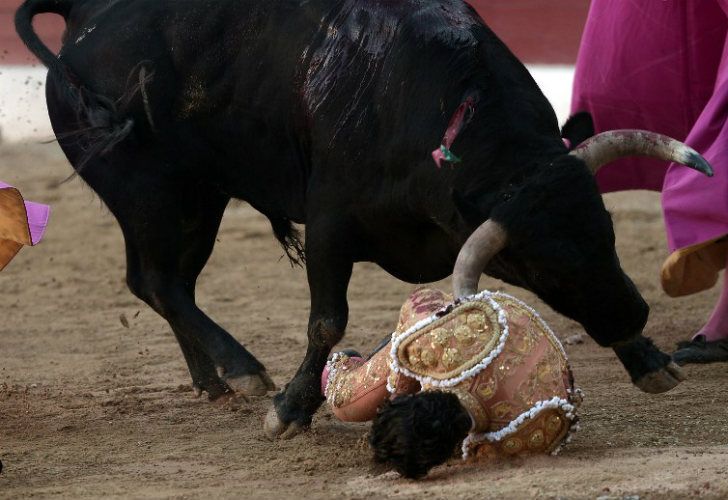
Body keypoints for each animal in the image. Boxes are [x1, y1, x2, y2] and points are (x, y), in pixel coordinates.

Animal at [14, 0, 712, 438]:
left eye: (607, 232)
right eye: (538, 266)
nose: (632, 316)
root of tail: (86, 19)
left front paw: (649, 360)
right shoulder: (330, 225)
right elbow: (327, 320)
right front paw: (289, 411)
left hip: (196, 201)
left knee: (166, 283)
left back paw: (212, 380)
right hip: (152, 196)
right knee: (157, 281)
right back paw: (242, 372)